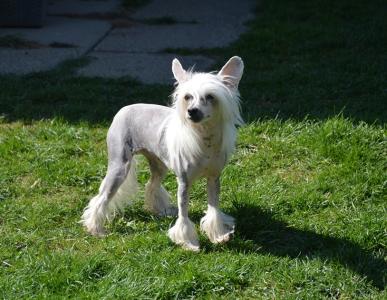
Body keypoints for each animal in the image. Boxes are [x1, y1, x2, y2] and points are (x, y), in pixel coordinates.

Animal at [81, 55, 244, 251]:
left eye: (210, 97)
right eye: (187, 97)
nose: (191, 111)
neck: (204, 138)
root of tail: (124, 108)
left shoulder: (214, 179)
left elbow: (214, 209)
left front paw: (219, 236)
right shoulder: (184, 183)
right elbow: (184, 215)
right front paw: (189, 243)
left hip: (158, 163)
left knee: (152, 184)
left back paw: (160, 210)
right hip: (119, 166)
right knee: (102, 197)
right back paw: (95, 228)